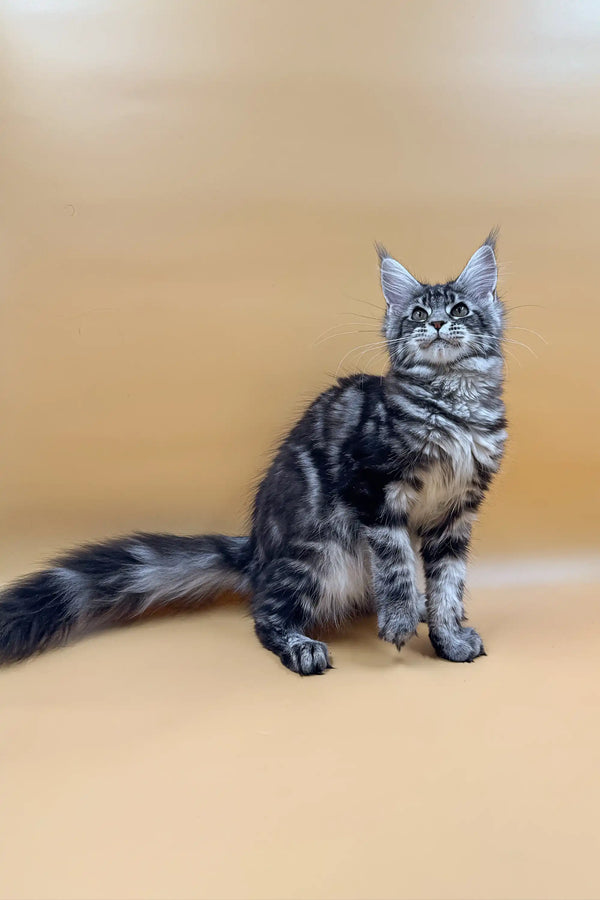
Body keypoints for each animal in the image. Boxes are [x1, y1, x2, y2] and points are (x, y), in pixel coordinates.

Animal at [0, 234, 506, 676]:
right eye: (418, 313)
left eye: (459, 309)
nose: (436, 324)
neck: (456, 407)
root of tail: (256, 551)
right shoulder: (373, 488)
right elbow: (397, 563)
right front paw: (399, 619)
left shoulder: (456, 513)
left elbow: (448, 584)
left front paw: (447, 637)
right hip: (321, 550)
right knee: (267, 612)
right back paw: (303, 647)